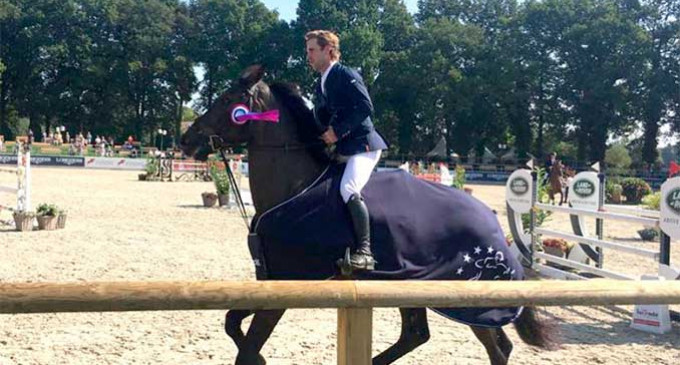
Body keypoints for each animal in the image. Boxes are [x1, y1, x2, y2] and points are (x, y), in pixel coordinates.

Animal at [181, 65, 556, 364]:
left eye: (228, 100)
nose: (186, 139)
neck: (293, 188)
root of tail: (492, 222)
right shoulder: (270, 282)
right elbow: (232, 322)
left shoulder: (286, 284)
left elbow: (245, 351)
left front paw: (255, 356)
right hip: (410, 283)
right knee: (419, 335)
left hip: (472, 301)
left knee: (496, 348)